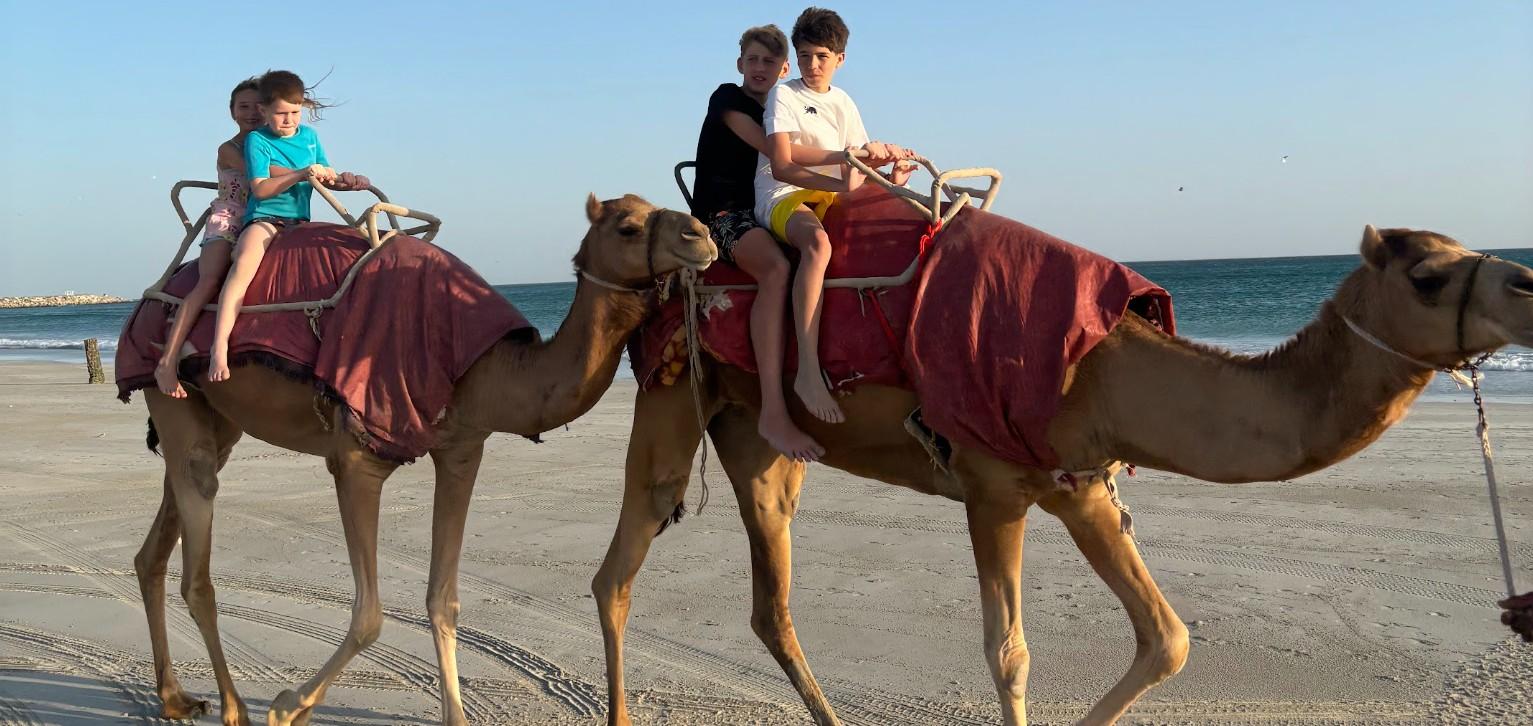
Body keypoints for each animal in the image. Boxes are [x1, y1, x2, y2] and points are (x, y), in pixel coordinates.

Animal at [132, 193, 714, 726]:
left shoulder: (462, 449)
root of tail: (148, 299)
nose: (701, 236)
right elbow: (369, 615)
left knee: (157, 542)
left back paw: (176, 698)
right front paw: (286, 706)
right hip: (171, 390)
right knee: (197, 556)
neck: (485, 364)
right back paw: (234, 708)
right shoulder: (357, 457)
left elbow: (444, 599)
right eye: (628, 226)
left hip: (214, 417)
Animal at [592, 225, 1533, 725]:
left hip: (758, 438)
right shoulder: (991, 486)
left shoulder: (1081, 484)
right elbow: (1008, 653)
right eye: (1427, 274)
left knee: (770, 598)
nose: (1528, 280)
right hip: (673, 395)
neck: (1105, 364)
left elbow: (1167, 639)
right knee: (621, 564)